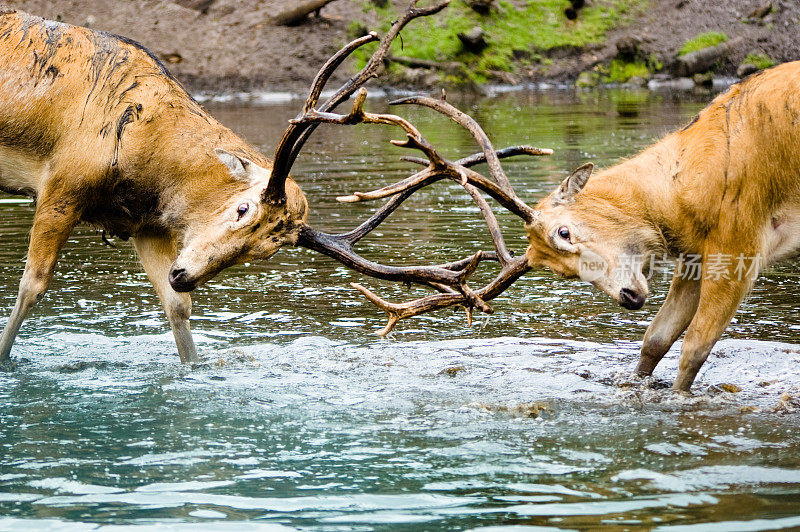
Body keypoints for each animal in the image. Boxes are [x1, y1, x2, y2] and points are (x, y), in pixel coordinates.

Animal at [520, 62, 800, 392]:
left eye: (563, 232)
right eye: (563, 273)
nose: (627, 297)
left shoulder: (739, 243)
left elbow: (695, 346)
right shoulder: (697, 257)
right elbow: (656, 337)